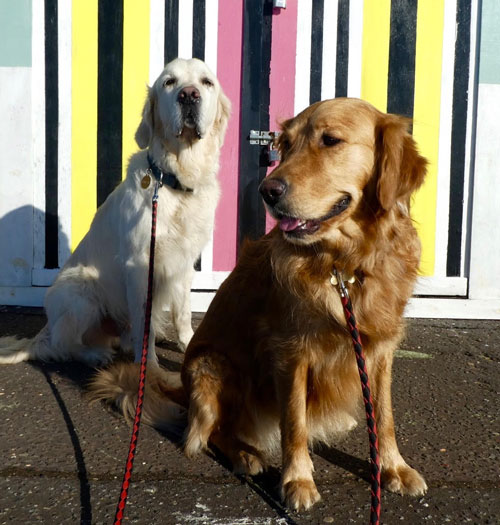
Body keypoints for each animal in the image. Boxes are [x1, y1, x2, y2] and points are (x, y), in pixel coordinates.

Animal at [0, 58, 230, 364]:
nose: (189, 95)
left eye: (206, 82)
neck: (175, 180)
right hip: (80, 289)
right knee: (63, 345)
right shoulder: (140, 264)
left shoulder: (184, 262)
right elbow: (145, 325)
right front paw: (150, 366)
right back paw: (96, 355)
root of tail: (44, 331)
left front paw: (187, 343)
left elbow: (182, 313)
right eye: (169, 82)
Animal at [94, 97, 430, 508]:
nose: (268, 191)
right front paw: (297, 480)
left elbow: (383, 415)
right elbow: (294, 421)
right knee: (207, 433)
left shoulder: (380, 348)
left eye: (330, 140)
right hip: (211, 367)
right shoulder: (291, 351)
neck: (344, 265)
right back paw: (244, 454)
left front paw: (394, 468)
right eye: (285, 144)